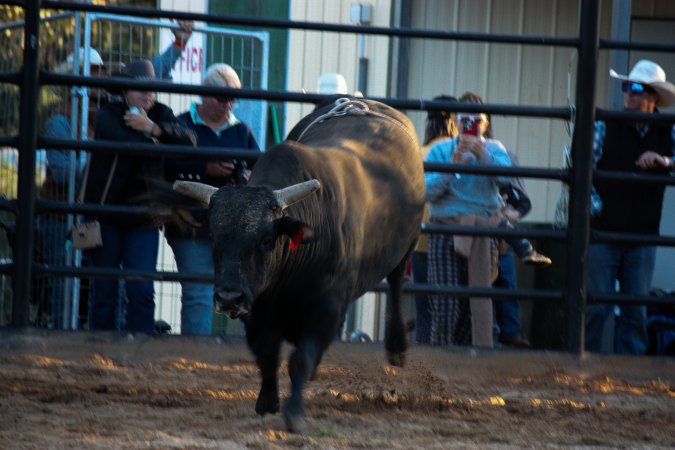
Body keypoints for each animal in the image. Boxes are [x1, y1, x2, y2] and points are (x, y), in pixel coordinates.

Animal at [174, 96, 425, 432]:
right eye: (214, 238)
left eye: (266, 239)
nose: (228, 298)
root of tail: (362, 102)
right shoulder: (257, 308)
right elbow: (267, 355)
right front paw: (267, 401)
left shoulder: (327, 307)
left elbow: (300, 360)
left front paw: (293, 412)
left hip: (407, 244)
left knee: (398, 281)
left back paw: (397, 345)